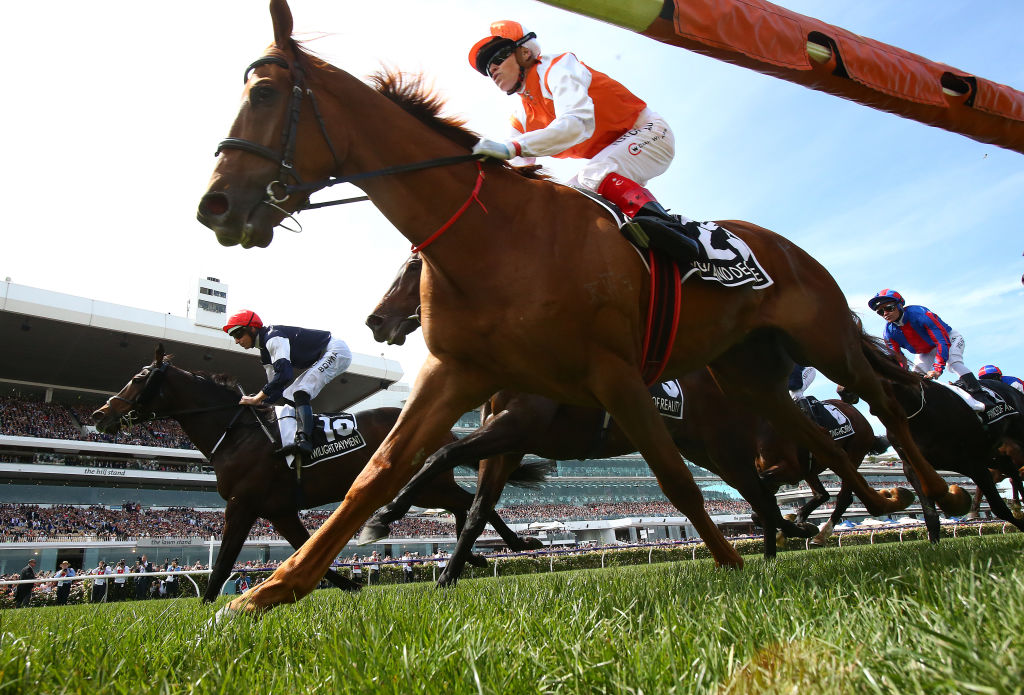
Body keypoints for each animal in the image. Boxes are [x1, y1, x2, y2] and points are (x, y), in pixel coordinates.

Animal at [92, 345, 548, 601]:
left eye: (138, 378)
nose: (99, 415)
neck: (236, 434)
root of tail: (447, 426)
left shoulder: (242, 505)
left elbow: (223, 563)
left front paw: (205, 612)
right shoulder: (277, 510)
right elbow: (303, 547)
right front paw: (346, 585)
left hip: (425, 487)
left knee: (470, 501)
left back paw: (511, 543)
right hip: (426, 487)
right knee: (466, 502)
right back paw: (476, 553)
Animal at [195, 0, 962, 614]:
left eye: (265, 93)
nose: (216, 206)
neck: (496, 237)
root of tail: (787, 247)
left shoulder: (610, 373)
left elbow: (674, 481)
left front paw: (731, 561)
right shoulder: (460, 375)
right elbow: (380, 475)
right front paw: (270, 591)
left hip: (824, 339)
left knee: (882, 409)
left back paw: (940, 497)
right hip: (749, 374)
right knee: (818, 442)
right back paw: (878, 504)